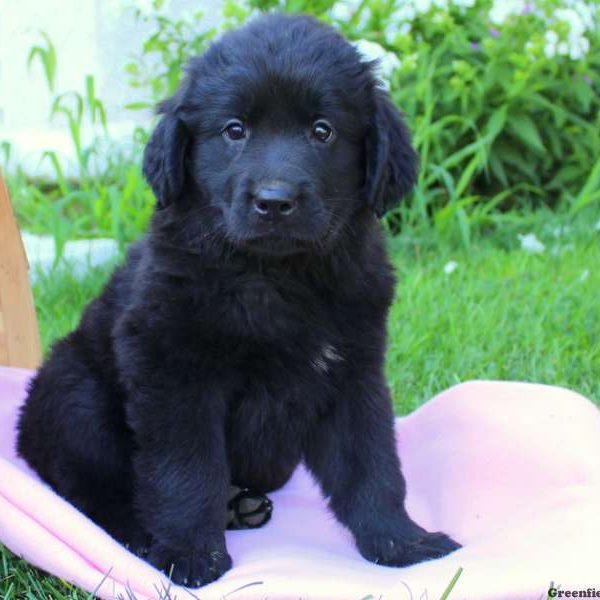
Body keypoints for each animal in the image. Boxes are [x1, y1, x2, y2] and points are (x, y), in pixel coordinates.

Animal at [17, 12, 460, 584]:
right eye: (234, 130)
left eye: (322, 131)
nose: (274, 201)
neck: (275, 275)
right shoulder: (174, 374)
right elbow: (186, 470)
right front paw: (188, 554)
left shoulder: (352, 372)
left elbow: (372, 464)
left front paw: (402, 540)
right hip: (77, 395)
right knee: (89, 494)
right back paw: (143, 535)